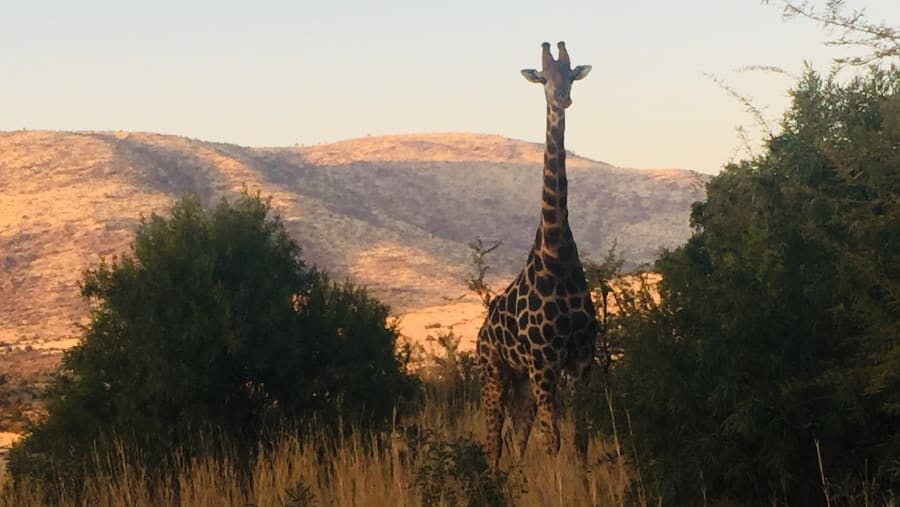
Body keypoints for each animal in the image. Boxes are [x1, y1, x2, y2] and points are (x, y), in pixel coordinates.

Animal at [476, 41, 599, 467]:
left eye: (571, 75)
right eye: (544, 77)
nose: (562, 98)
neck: (557, 252)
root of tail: (481, 331)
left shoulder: (582, 358)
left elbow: (579, 439)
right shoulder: (544, 362)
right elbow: (552, 442)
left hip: (522, 383)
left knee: (516, 440)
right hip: (494, 373)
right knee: (493, 442)